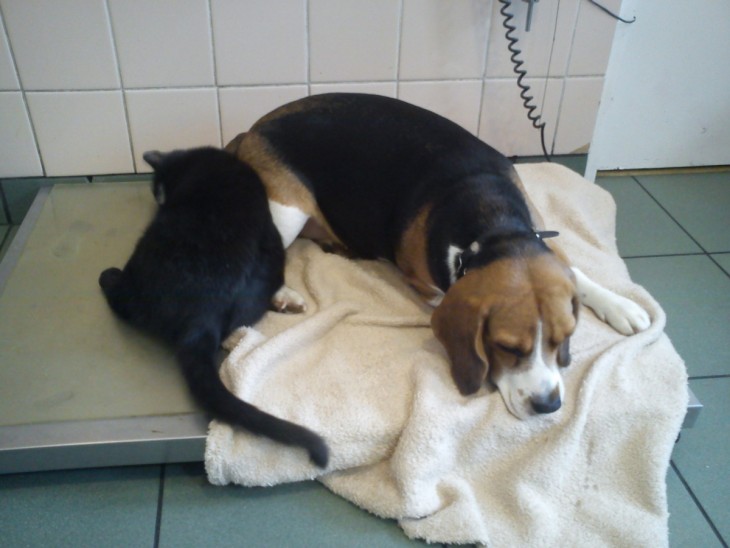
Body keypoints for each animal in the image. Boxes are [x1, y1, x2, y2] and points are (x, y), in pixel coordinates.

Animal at [98, 147, 326, 466]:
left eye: (158, 191)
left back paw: (108, 278)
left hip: (142, 263)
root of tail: (202, 317)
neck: (195, 160)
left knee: (121, 299)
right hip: (273, 254)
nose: (158, 200)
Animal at [226, 93, 648, 420]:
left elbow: (576, 272)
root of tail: (251, 131)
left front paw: (619, 305)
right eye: (508, 348)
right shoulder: (427, 283)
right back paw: (281, 296)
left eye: (565, 337)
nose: (549, 406)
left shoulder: (542, 232)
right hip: (286, 209)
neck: (494, 225)